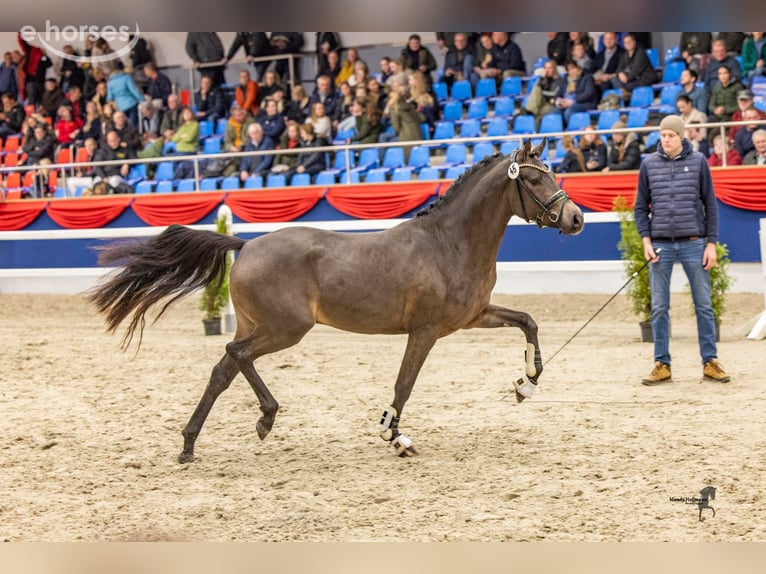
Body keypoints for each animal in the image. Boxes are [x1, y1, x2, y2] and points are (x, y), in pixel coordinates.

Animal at [89, 139, 584, 463]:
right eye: (534, 178)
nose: (576, 219)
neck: (449, 243)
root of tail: (246, 245)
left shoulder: (472, 317)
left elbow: (528, 320)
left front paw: (526, 383)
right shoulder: (425, 331)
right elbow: (404, 384)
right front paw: (395, 437)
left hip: (258, 325)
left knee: (222, 371)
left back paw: (189, 446)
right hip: (284, 329)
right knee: (236, 354)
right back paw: (265, 419)